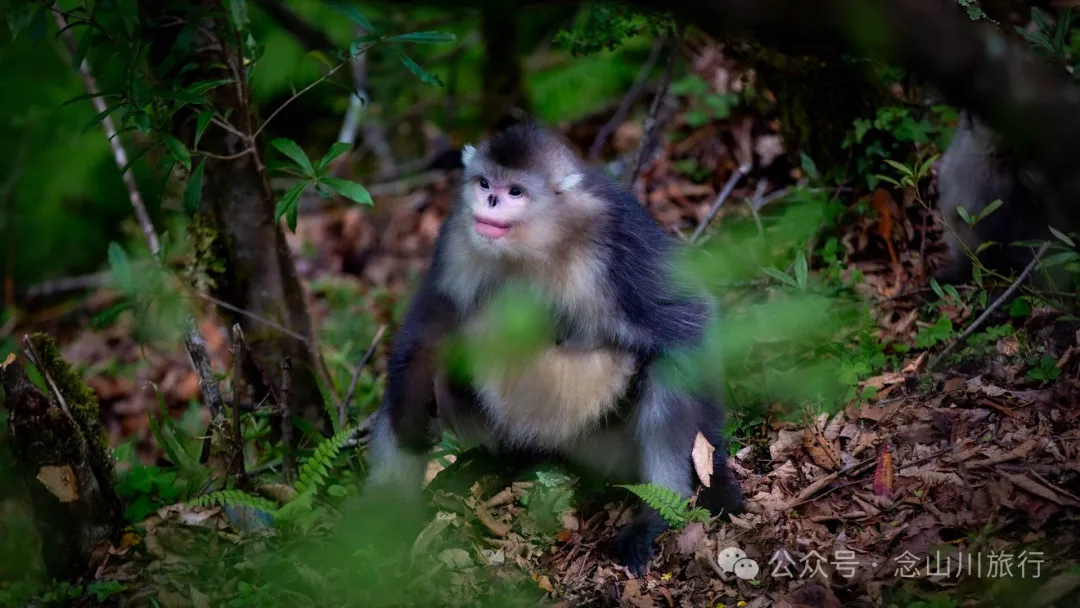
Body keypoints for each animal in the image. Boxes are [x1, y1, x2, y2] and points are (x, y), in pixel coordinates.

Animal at [363, 122, 746, 575]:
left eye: (515, 192)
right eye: (484, 183)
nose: (490, 201)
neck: (541, 239)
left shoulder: (616, 240)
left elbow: (688, 322)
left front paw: (714, 479)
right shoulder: (459, 233)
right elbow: (434, 317)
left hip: (605, 445)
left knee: (663, 371)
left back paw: (655, 515)